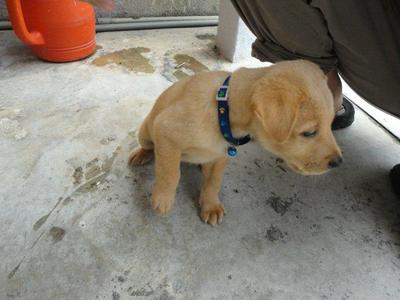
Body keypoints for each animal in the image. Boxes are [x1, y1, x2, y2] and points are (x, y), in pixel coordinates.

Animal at [130, 60, 342, 225]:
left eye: (331, 124)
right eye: (309, 133)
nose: (338, 162)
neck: (222, 111)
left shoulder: (222, 156)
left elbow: (213, 182)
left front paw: (211, 205)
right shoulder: (166, 131)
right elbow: (170, 173)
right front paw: (163, 199)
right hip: (146, 131)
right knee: (150, 147)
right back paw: (141, 154)